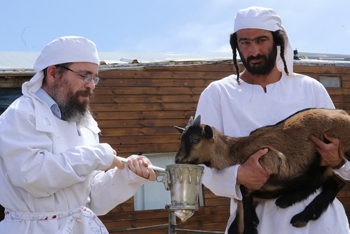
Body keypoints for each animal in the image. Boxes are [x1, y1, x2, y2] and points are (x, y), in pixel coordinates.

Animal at [175, 109, 348, 234]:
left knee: (335, 181)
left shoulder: (270, 159)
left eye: (195, 140)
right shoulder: (243, 202)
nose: (177, 159)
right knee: (330, 181)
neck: (236, 151)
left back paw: (296, 212)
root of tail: (344, 114)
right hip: (321, 164)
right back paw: (291, 205)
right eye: (181, 138)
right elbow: (235, 227)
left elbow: (248, 219)